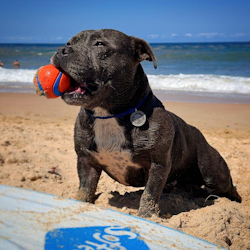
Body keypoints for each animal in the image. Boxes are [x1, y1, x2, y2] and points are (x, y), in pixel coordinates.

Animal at [50, 28, 240, 217]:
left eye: (99, 44)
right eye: (69, 43)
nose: (61, 50)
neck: (108, 115)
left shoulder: (157, 164)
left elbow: (149, 193)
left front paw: (147, 216)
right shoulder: (86, 161)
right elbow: (85, 189)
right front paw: (79, 204)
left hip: (213, 174)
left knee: (227, 187)